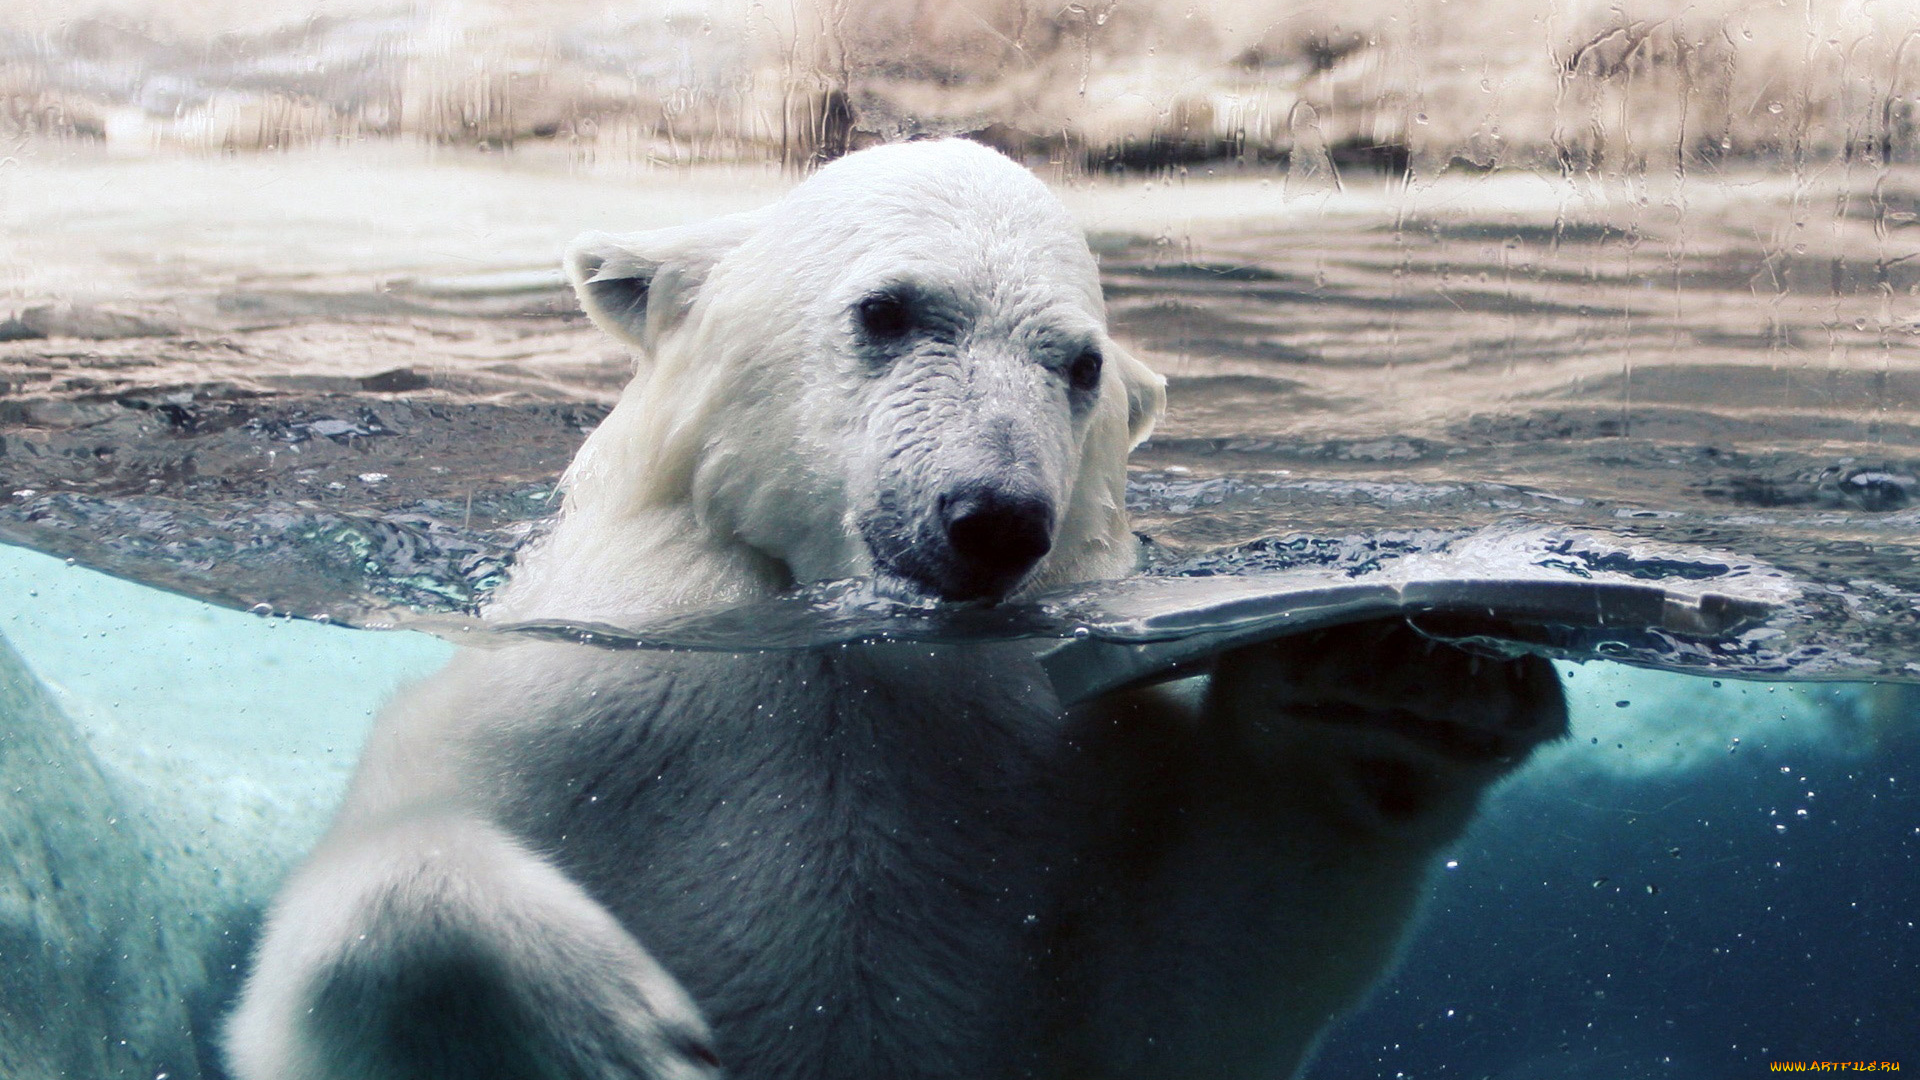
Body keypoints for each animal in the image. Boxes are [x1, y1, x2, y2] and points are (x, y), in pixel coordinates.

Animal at [225, 139, 1567, 1080]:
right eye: (888, 309)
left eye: (1079, 365)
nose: (995, 515)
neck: (845, 654)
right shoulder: (580, 708)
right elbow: (352, 925)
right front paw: (614, 1038)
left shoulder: (1058, 780)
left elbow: (1188, 983)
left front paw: (1396, 683)